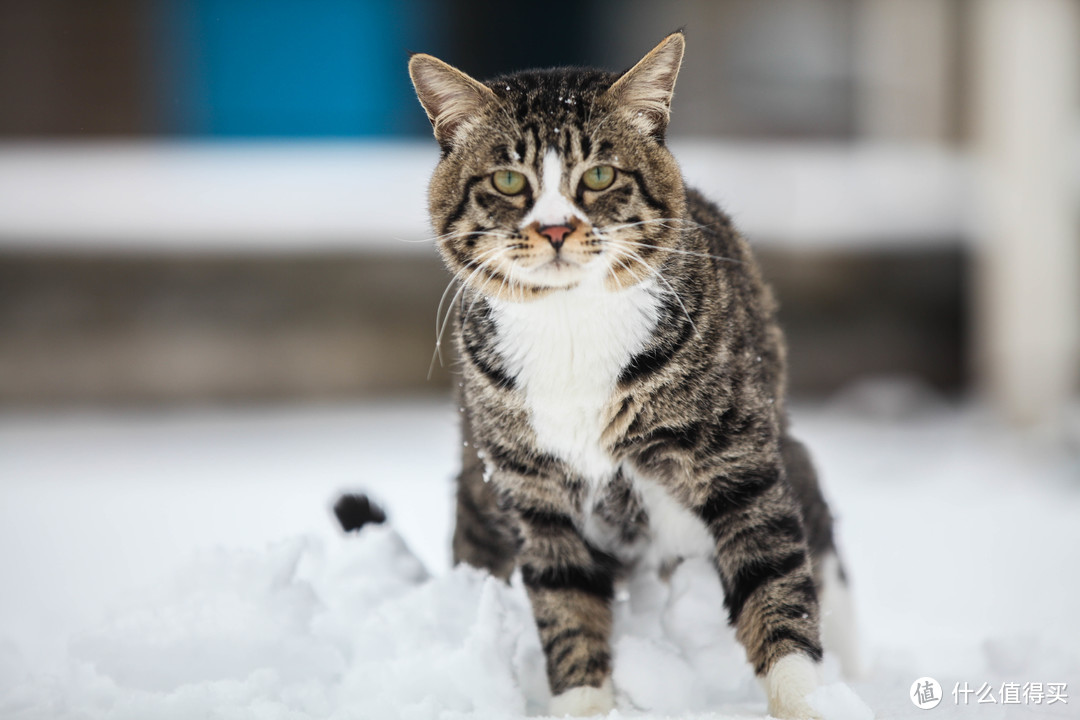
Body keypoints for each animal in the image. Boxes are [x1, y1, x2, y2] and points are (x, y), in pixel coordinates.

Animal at [406, 31, 859, 716]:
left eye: (599, 175)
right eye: (509, 180)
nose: (555, 227)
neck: (571, 329)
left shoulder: (739, 467)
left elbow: (774, 583)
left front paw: (805, 701)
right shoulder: (538, 498)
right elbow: (567, 609)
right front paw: (586, 705)